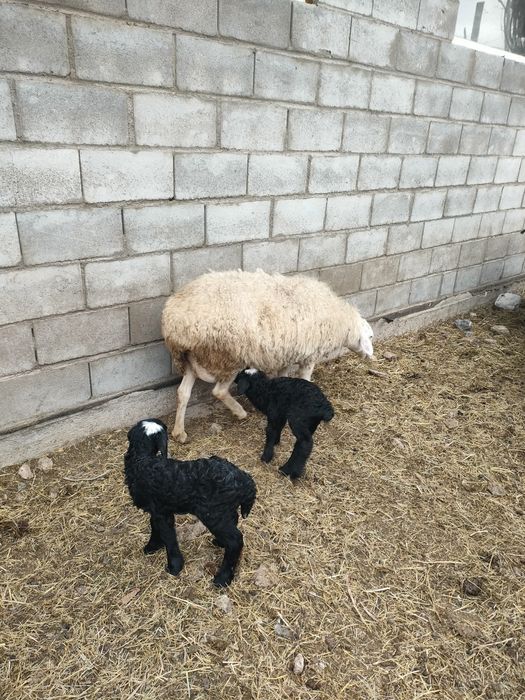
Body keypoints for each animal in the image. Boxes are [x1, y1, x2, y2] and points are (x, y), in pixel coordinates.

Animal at [124, 418, 257, 587]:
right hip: (224, 511)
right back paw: (220, 543)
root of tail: (245, 481)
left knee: (235, 540)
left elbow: (168, 536)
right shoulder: (159, 508)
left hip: (213, 514)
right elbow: (154, 525)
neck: (143, 460)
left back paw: (223, 578)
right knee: (234, 521)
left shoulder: (161, 511)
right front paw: (152, 546)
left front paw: (174, 566)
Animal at [161, 270, 373, 443]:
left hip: (189, 359)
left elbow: (282, 377)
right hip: (228, 357)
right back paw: (240, 412)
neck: (340, 322)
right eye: (370, 337)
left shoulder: (286, 354)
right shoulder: (308, 355)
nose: (372, 357)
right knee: (219, 391)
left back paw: (179, 432)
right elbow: (306, 380)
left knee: (183, 392)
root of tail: (175, 321)